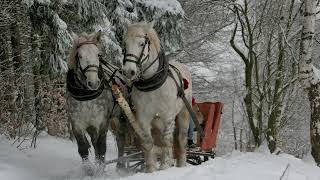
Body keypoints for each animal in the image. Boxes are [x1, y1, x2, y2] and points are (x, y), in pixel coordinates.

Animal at [122, 21, 192, 172]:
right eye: (125, 44)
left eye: (142, 44)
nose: (128, 71)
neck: (152, 84)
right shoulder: (143, 118)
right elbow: (148, 142)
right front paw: (151, 169)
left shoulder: (168, 116)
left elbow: (167, 141)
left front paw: (165, 166)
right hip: (157, 121)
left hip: (183, 113)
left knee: (180, 140)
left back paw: (181, 164)